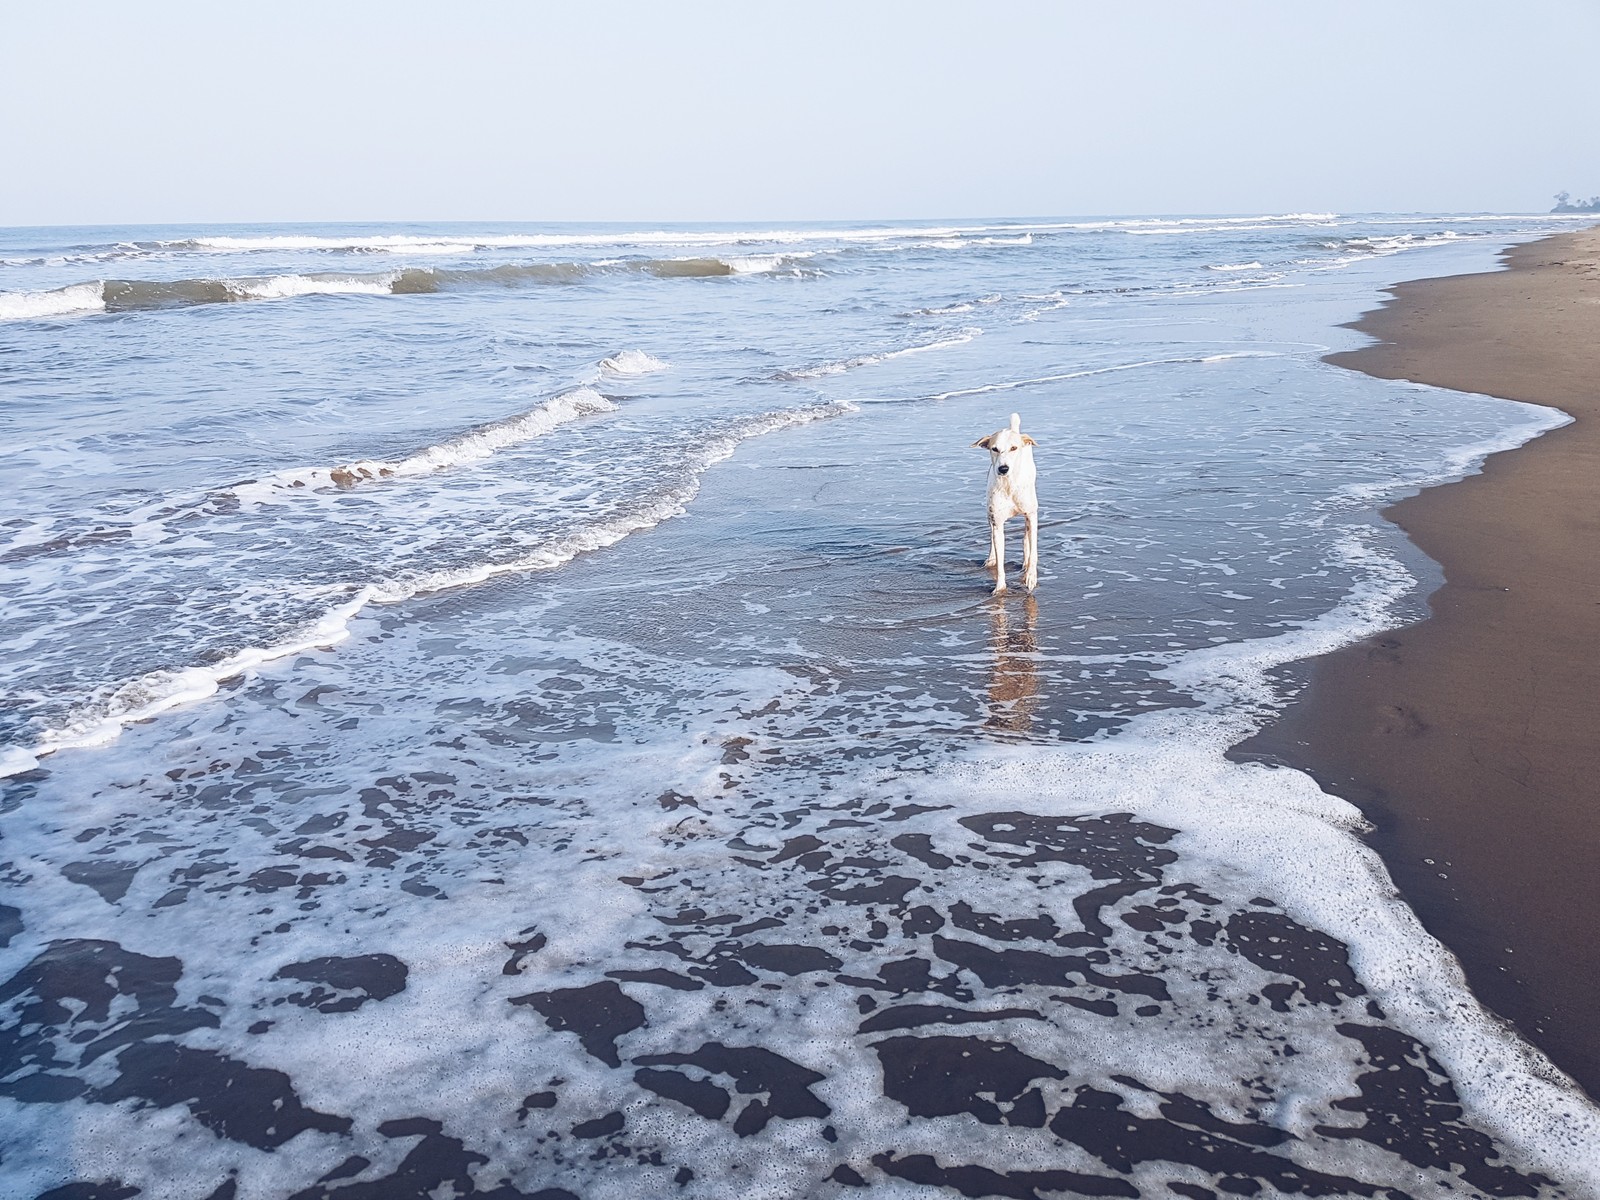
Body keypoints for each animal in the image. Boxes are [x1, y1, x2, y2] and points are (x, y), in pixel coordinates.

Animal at [972, 416, 1036, 598]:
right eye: (994, 449)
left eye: (1014, 448)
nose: (1003, 468)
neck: (1009, 485)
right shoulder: (997, 522)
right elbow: (1000, 560)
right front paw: (1000, 587)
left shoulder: (1032, 514)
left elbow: (1034, 550)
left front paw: (1031, 577)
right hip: (990, 514)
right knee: (992, 536)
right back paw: (991, 558)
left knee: (1026, 535)